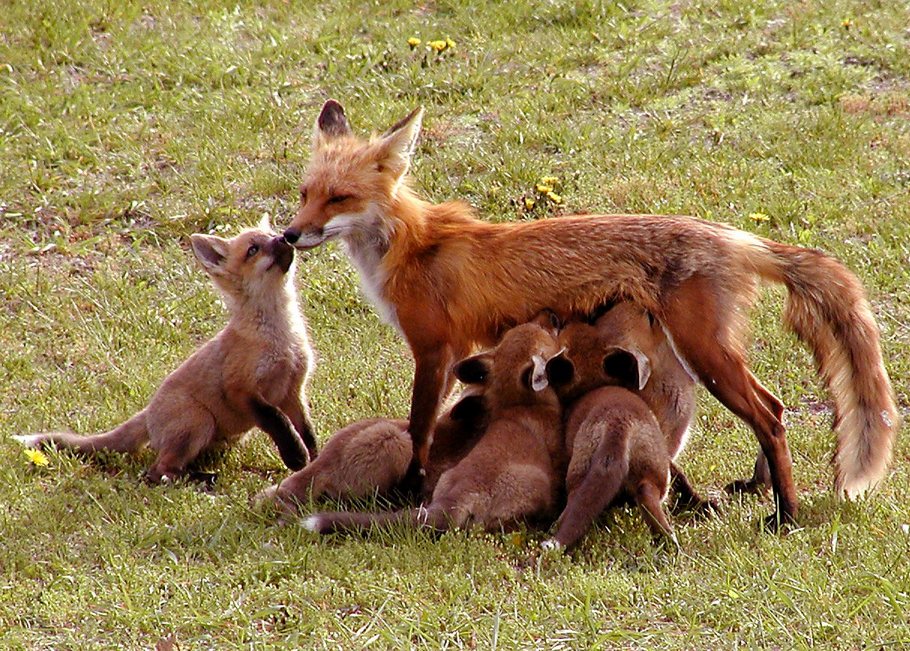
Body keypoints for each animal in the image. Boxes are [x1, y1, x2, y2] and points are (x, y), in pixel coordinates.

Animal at [11, 224, 320, 484]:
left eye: (272, 235)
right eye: (253, 249)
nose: (285, 237)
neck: (281, 339)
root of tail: (148, 412)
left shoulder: (293, 390)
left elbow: (306, 430)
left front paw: (315, 459)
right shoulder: (242, 390)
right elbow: (278, 421)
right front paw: (295, 456)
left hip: (223, 437)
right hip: (197, 421)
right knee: (158, 471)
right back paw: (200, 480)